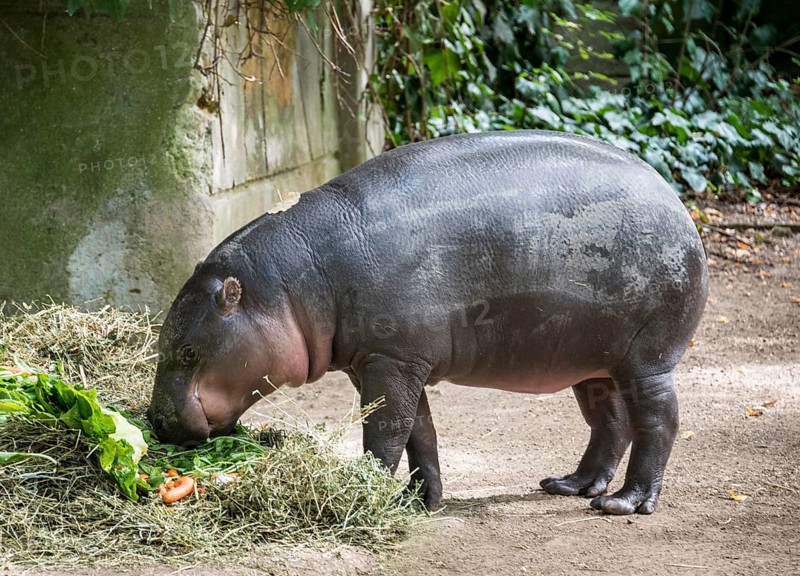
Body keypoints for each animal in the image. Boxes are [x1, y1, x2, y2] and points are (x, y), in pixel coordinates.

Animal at [148, 130, 708, 515]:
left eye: (189, 352)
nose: (154, 421)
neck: (289, 283)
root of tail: (676, 202)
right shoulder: (386, 362)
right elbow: (419, 432)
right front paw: (419, 501)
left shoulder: (390, 362)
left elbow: (385, 431)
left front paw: (366, 490)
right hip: (590, 359)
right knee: (608, 422)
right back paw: (571, 486)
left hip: (648, 358)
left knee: (658, 420)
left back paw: (624, 504)